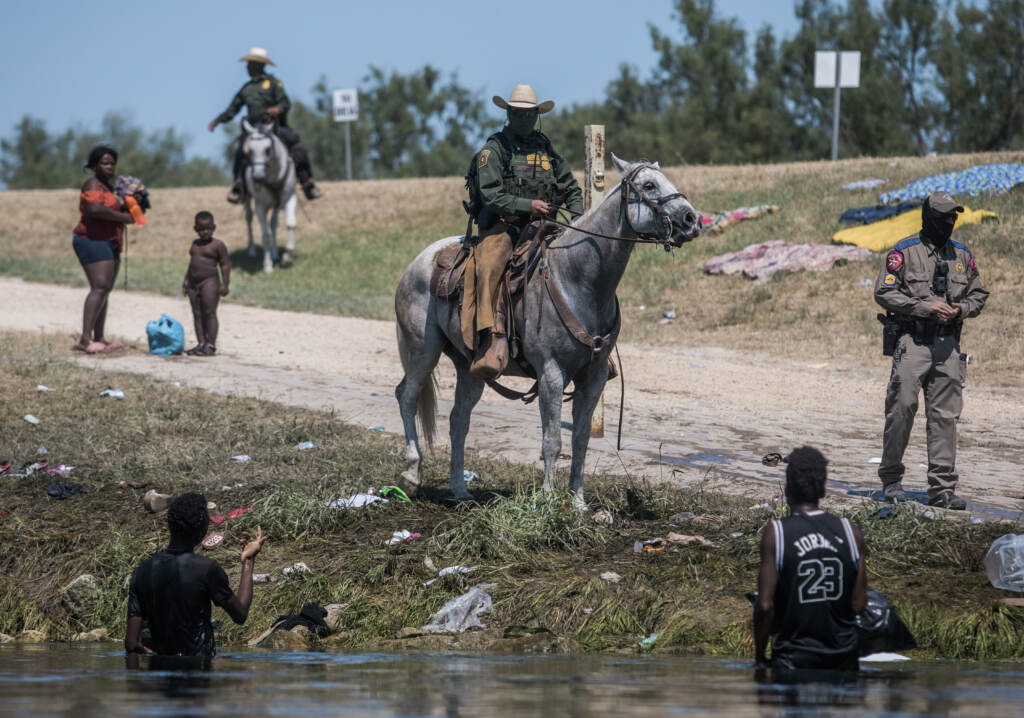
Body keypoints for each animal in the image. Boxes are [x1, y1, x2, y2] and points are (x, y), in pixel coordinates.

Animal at [241, 118, 298, 274]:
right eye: (250, 150)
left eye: (267, 149)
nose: (258, 178)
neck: (272, 176)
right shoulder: (260, 205)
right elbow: (265, 236)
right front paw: (267, 266)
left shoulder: (289, 199)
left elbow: (290, 224)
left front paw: (286, 258)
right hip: (248, 199)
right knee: (249, 218)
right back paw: (252, 250)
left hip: (276, 204)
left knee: (273, 223)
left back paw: (275, 253)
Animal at [394, 154, 702, 506]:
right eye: (649, 185)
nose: (692, 219)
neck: (580, 278)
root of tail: (417, 264)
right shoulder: (551, 375)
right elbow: (552, 440)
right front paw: (549, 500)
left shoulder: (593, 378)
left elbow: (580, 439)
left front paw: (578, 502)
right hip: (422, 349)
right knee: (407, 396)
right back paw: (411, 475)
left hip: (469, 368)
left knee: (459, 420)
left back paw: (460, 490)